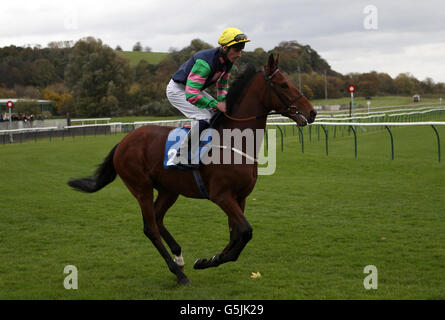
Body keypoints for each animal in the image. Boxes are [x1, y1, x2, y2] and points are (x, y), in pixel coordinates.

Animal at [67, 53, 316, 284]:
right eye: (284, 84)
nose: (312, 112)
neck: (235, 141)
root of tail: (123, 142)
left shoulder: (240, 197)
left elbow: (237, 235)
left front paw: (210, 259)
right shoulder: (221, 195)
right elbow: (245, 231)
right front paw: (208, 260)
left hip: (169, 189)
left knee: (158, 218)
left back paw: (179, 257)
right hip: (141, 188)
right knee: (150, 228)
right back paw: (178, 273)